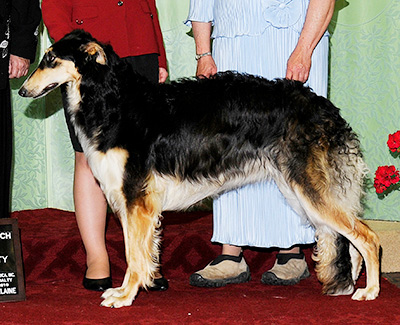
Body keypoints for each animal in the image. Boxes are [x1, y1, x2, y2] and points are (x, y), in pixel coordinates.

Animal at [19, 29, 382, 306]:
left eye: (50, 59)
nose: (22, 90)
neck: (114, 101)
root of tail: (326, 108)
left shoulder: (136, 199)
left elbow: (134, 257)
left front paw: (124, 296)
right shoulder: (132, 202)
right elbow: (140, 252)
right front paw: (134, 288)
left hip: (310, 192)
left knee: (368, 237)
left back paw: (370, 291)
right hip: (301, 191)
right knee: (351, 241)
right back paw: (351, 284)